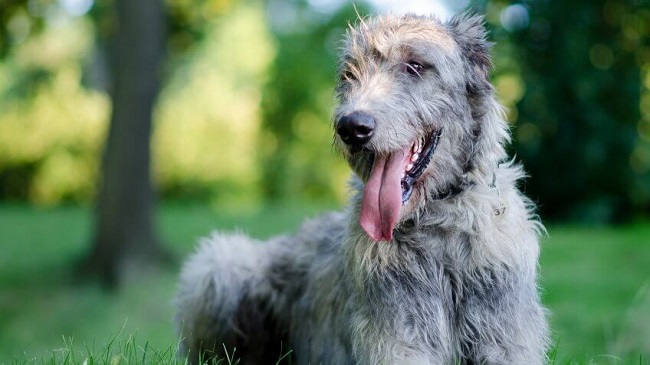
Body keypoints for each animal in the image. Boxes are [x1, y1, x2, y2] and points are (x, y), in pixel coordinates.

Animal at [176, 12, 548, 362]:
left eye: (415, 66)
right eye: (349, 75)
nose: (352, 128)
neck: (438, 222)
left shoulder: (505, 331)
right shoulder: (395, 336)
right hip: (221, 263)